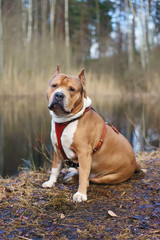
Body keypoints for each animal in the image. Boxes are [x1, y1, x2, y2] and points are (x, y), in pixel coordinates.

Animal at [42, 64, 140, 202]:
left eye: (72, 89)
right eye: (54, 85)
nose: (59, 95)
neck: (65, 120)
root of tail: (134, 164)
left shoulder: (84, 153)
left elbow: (84, 176)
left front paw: (81, 194)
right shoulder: (57, 150)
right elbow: (55, 169)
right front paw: (51, 183)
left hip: (108, 177)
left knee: (90, 177)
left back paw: (74, 176)